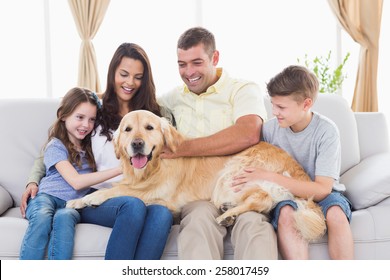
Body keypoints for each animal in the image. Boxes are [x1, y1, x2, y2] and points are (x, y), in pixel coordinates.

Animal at [68, 109, 326, 241]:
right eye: (127, 129)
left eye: (150, 128)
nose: (137, 144)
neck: (155, 165)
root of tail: (299, 171)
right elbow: (118, 185)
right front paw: (82, 198)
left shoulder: (160, 194)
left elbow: (120, 189)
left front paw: (86, 199)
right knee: (261, 200)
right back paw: (229, 212)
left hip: (232, 172)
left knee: (261, 200)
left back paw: (227, 215)